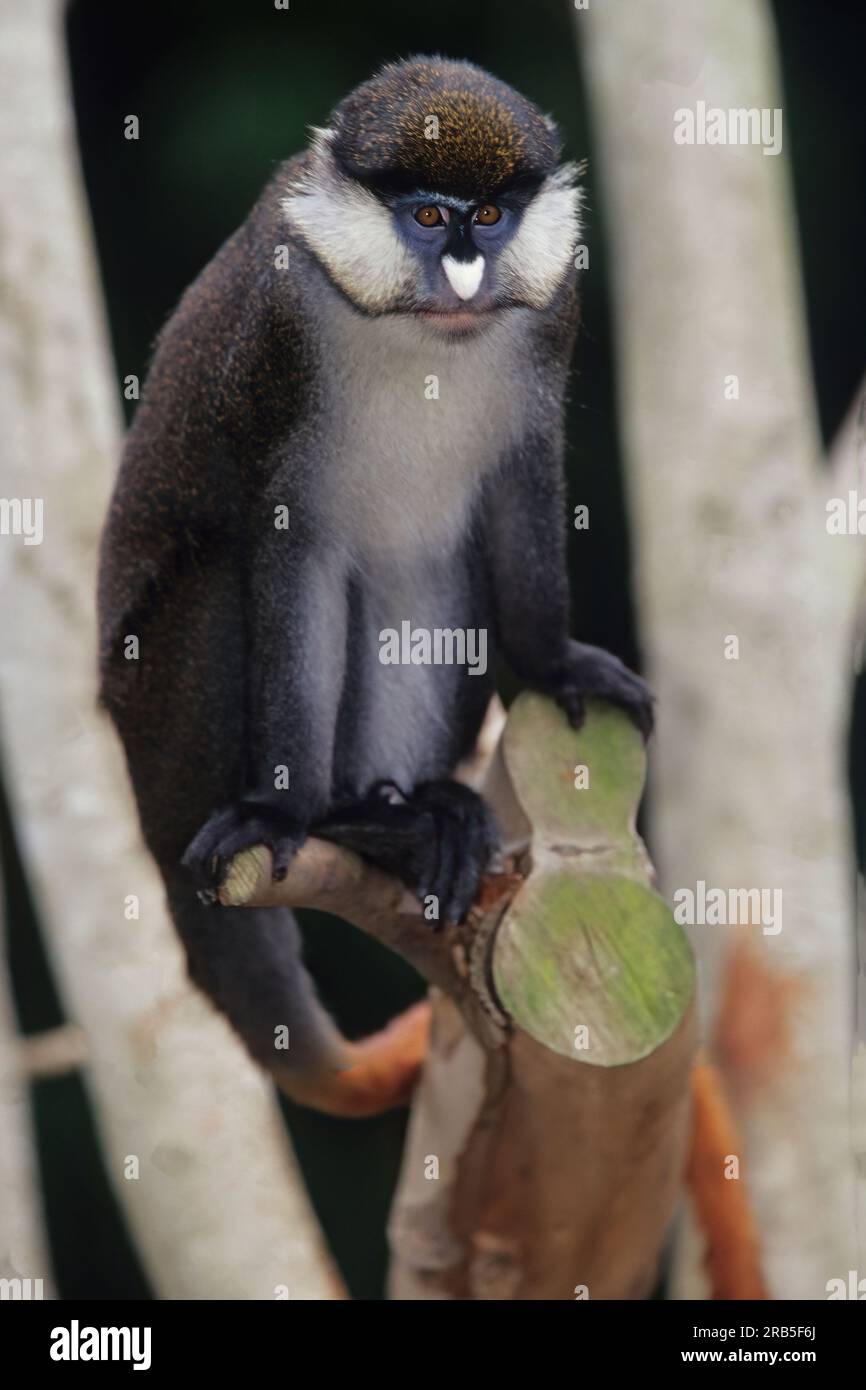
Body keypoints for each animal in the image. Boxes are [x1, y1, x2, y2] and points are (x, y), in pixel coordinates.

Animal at [98, 56, 653, 1117]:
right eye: (429, 218)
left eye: (490, 214)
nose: (466, 272)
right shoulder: (277, 348)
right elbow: (291, 556)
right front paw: (282, 814)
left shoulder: (551, 316)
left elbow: (518, 499)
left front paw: (553, 660)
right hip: (159, 727)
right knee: (223, 578)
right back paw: (340, 824)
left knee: (425, 570)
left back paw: (400, 814)